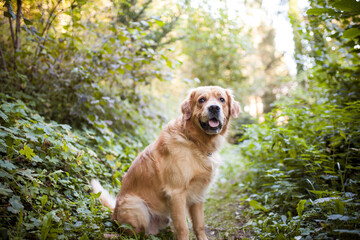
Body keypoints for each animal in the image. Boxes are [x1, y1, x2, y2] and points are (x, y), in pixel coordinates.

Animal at [91, 85, 240, 239]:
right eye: (201, 100)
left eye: (221, 99)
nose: (214, 108)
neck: (196, 142)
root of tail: (114, 213)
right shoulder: (176, 194)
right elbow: (183, 228)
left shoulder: (198, 195)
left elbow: (199, 226)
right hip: (137, 207)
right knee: (131, 233)